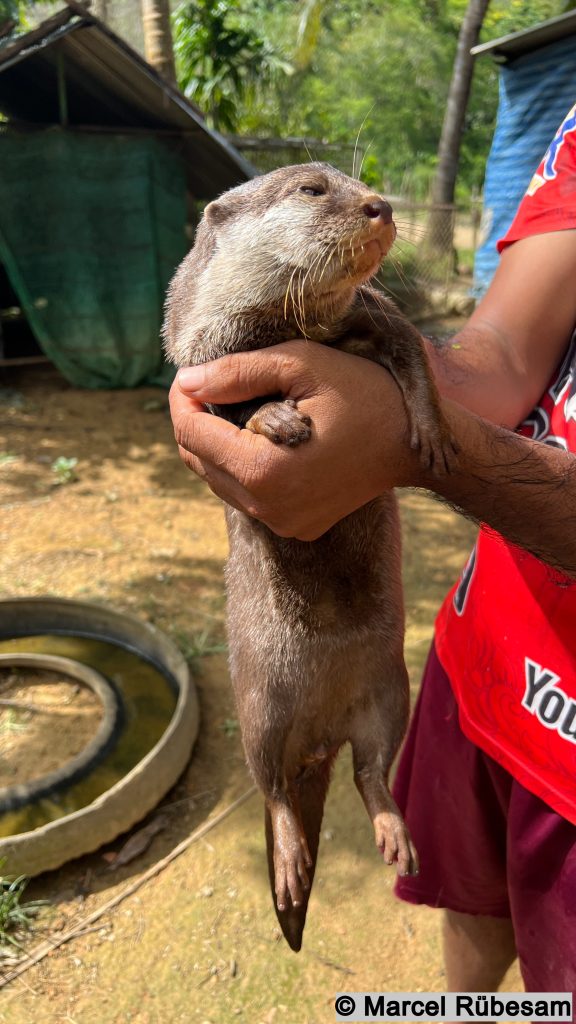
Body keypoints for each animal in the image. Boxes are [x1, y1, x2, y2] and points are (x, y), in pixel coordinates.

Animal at [163, 161, 455, 950]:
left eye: (357, 178)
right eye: (312, 190)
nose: (378, 205)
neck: (291, 326)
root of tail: (319, 737)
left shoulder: (376, 315)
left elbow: (415, 358)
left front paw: (429, 432)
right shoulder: (202, 358)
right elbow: (228, 410)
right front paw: (273, 417)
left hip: (390, 686)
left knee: (370, 768)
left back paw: (391, 831)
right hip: (260, 702)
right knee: (270, 787)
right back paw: (291, 856)